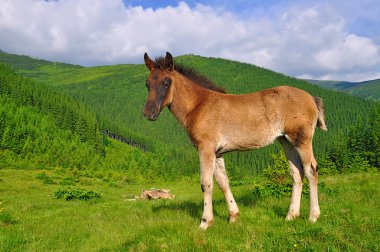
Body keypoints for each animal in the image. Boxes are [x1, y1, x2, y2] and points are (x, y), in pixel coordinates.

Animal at [142, 52, 326, 229]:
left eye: (166, 82)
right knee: (296, 173)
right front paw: (233, 216)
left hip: (302, 139)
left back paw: (313, 216)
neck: (198, 105)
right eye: (147, 83)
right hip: (286, 141)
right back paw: (291, 216)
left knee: (311, 170)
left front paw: (205, 222)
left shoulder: (205, 148)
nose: (149, 113)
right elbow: (223, 182)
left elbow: (206, 183)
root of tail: (311, 98)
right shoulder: (218, 153)